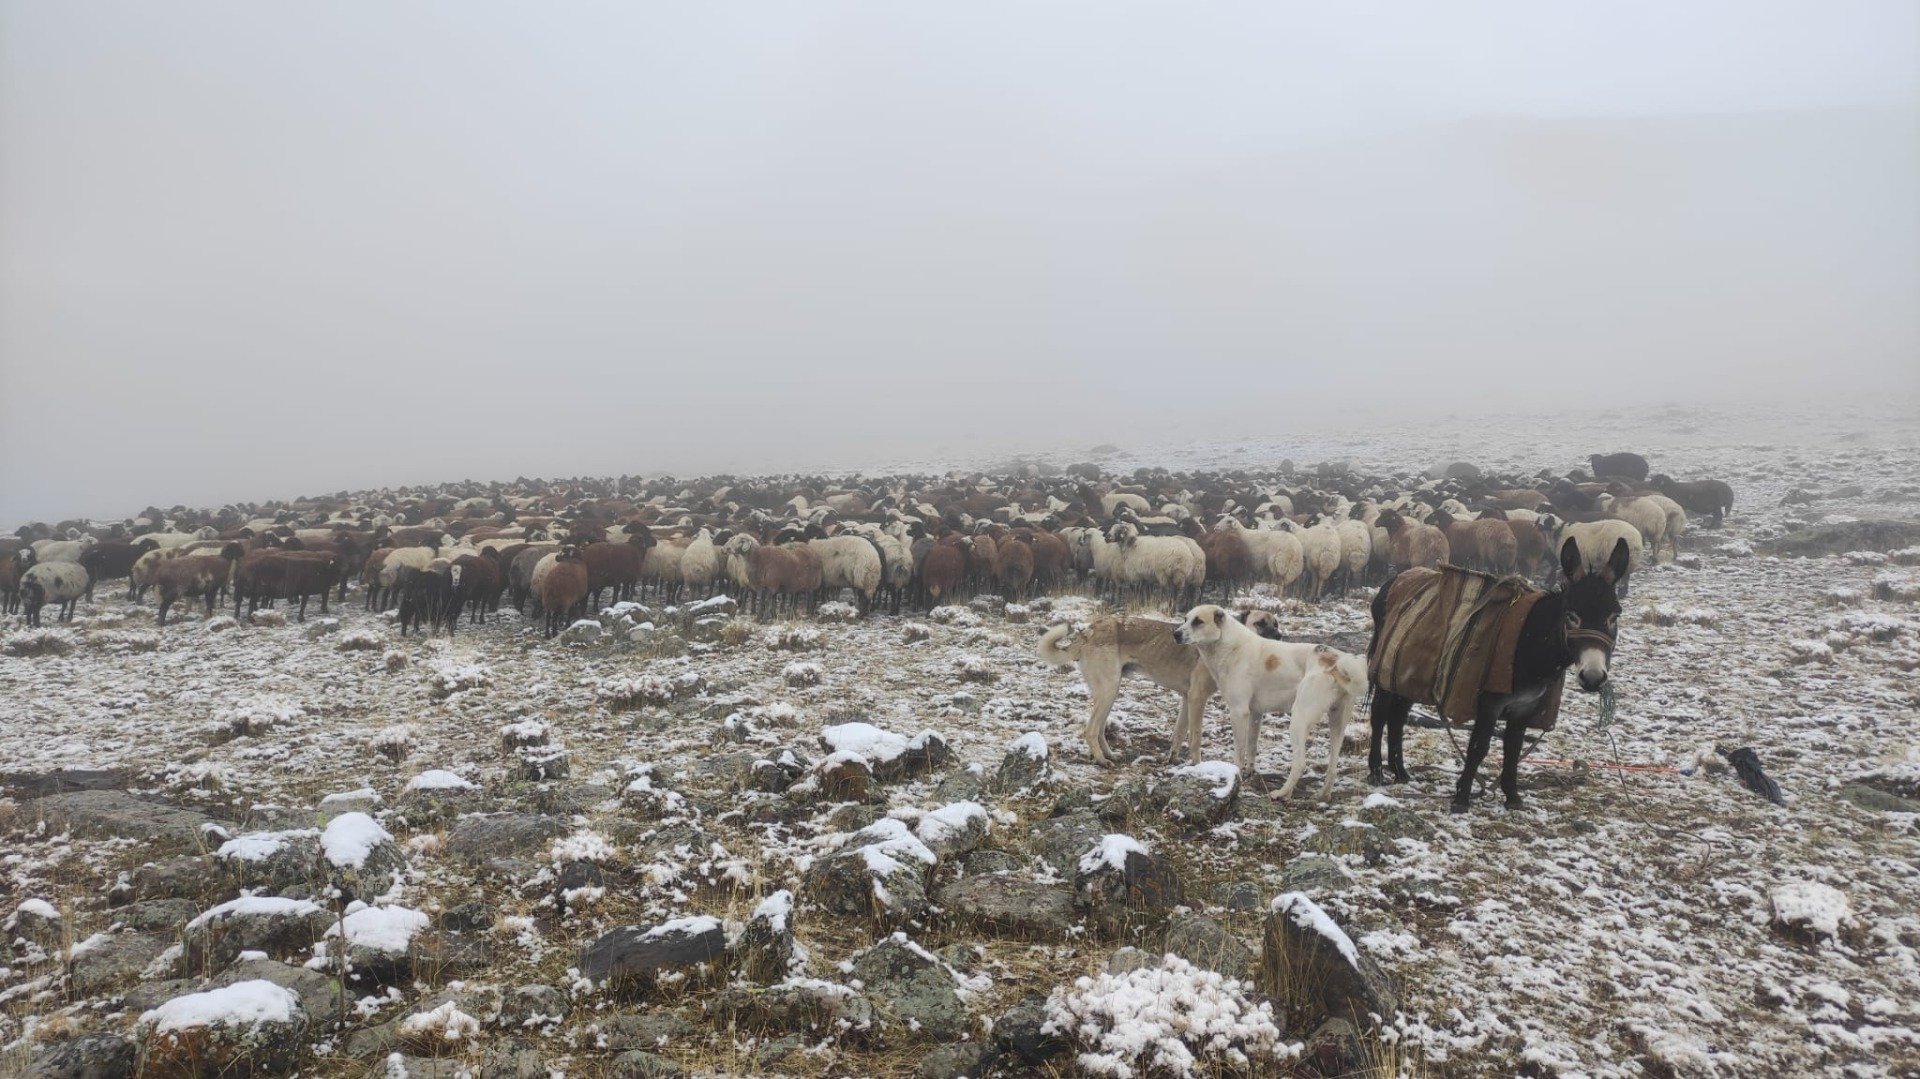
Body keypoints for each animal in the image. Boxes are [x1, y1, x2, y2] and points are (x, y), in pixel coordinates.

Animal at [1029, 606, 1282, 764]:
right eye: (1260, 623)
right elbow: (1195, 737)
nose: (1280, 636)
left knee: (1099, 729)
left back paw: (1109, 755)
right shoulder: (1197, 698)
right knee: (1091, 730)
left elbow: (1179, 733)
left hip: (1109, 691)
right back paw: (1101, 760)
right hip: (1108, 690)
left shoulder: (1187, 699)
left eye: (1276, 623)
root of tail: (1088, 630)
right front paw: (1197, 765)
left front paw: (1173, 760)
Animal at [1167, 599, 1367, 794]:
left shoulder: (1239, 711)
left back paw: (1281, 794)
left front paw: (1236, 775)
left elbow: (1239, 751)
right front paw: (1248, 772)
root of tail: (1334, 661)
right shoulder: (1255, 713)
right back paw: (1322, 796)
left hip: (1299, 720)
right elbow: (1251, 746)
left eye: (1198, 621)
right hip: (1337, 724)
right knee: (1333, 767)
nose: (1175, 634)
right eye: (1185, 619)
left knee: (1300, 763)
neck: (1230, 646)